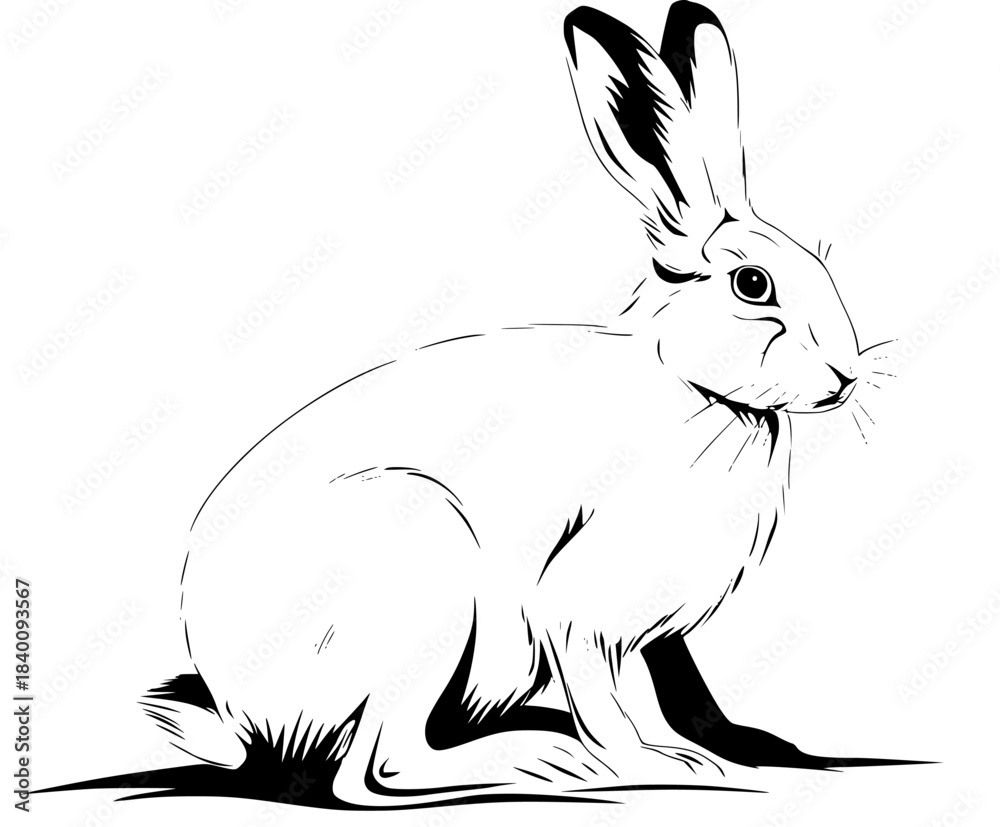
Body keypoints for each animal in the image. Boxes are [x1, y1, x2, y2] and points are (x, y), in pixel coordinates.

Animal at [157, 0, 894, 808]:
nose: (844, 376)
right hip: (427, 583)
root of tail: (243, 715)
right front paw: (659, 765)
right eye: (754, 285)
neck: (693, 385)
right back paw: (546, 761)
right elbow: (604, 699)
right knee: (375, 770)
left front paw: (731, 748)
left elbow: (674, 690)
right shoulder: (578, 604)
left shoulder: (659, 628)